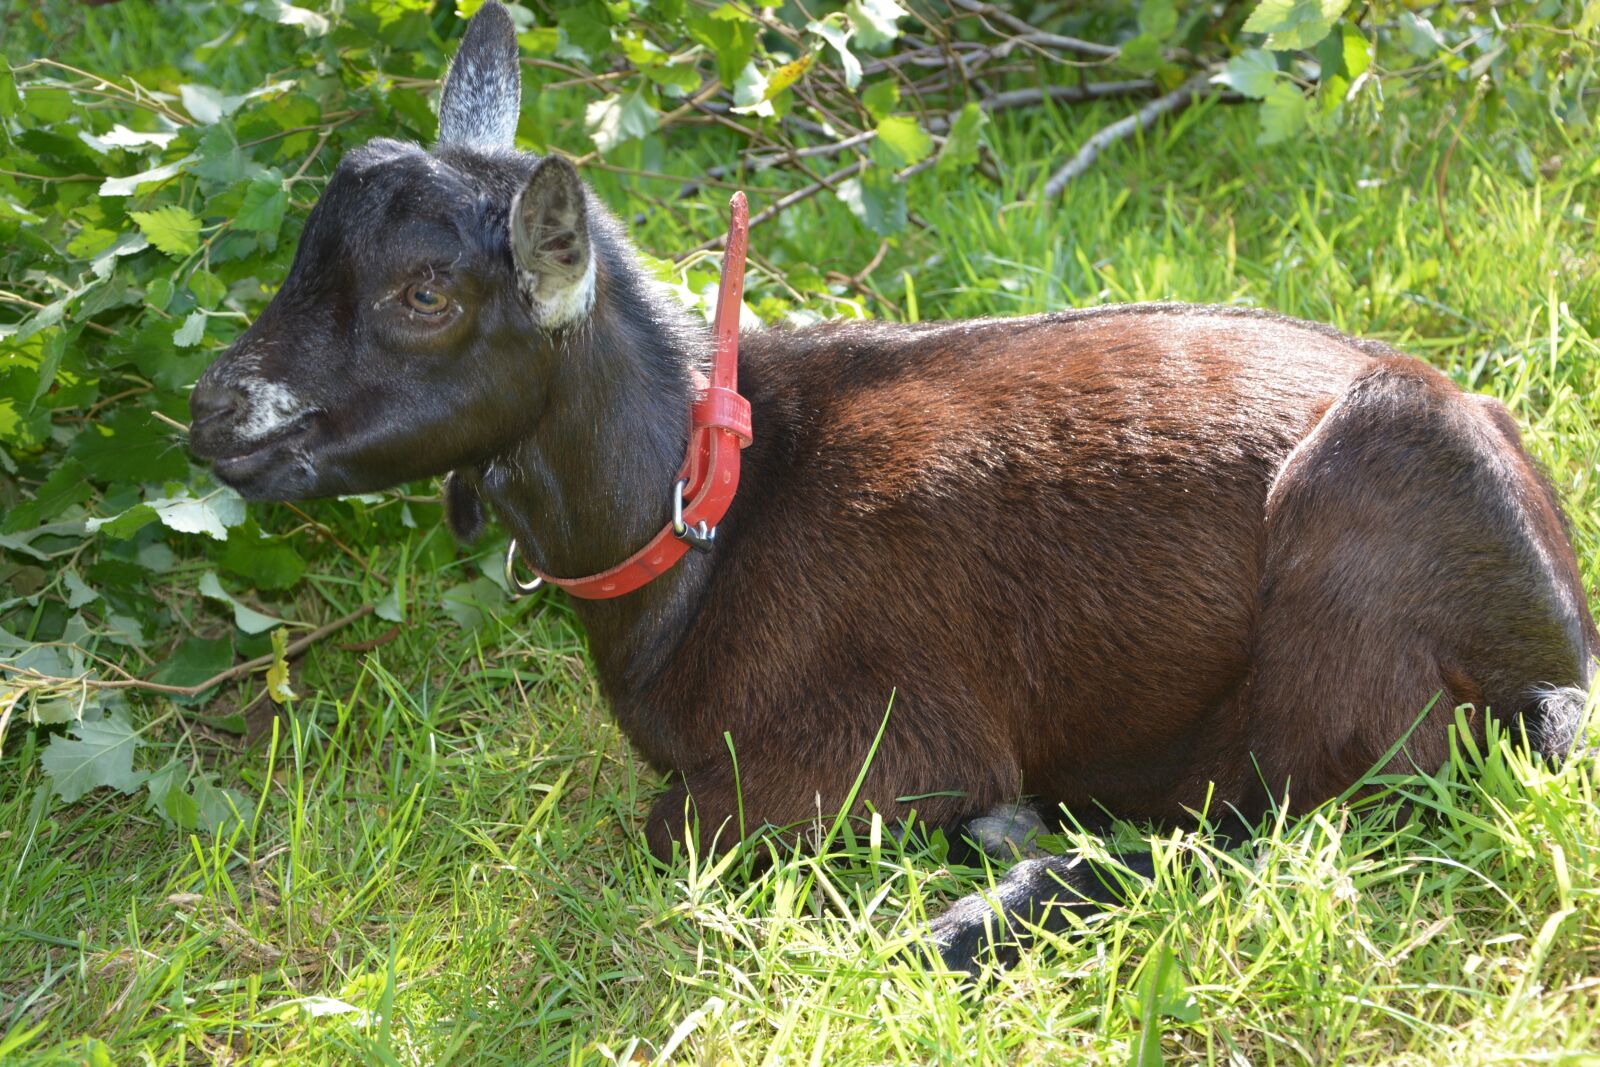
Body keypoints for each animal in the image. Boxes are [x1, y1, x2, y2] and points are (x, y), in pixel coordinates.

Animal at [188, 1, 1598, 973]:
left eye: (424, 292)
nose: (213, 413)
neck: (708, 518)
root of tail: (1556, 630)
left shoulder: (870, 745)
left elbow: (669, 824)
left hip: (1348, 620)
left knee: (1278, 821)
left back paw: (987, 905)